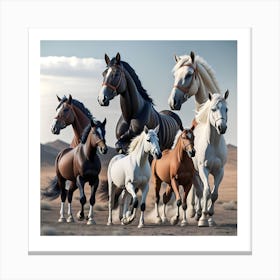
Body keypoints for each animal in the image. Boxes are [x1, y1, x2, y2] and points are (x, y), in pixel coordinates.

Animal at [192, 91, 230, 226]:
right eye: (213, 109)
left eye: (226, 109)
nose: (222, 127)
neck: (213, 144)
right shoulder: (204, 169)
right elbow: (206, 192)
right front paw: (203, 218)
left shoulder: (219, 171)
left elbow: (214, 194)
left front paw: (211, 217)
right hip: (196, 172)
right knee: (198, 191)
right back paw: (198, 213)